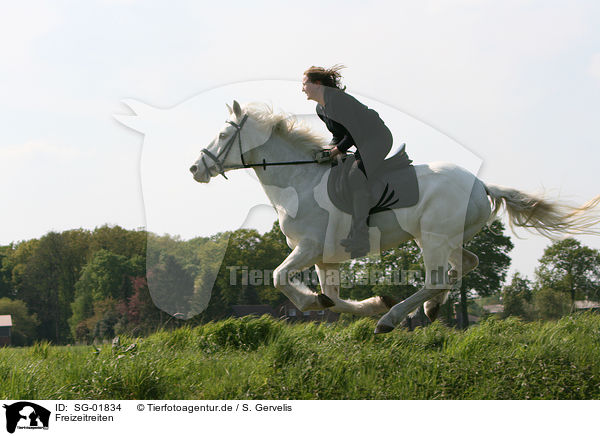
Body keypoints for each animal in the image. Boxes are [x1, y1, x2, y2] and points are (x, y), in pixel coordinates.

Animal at [191, 101, 600, 334]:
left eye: (224, 134)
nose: (195, 168)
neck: (298, 179)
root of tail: (481, 183)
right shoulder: (325, 257)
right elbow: (333, 300)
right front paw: (372, 303)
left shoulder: (307, 248)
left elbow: (280, 278)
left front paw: (321, 304)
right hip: (443, 238)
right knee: (463, 265)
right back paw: (427, 309)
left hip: (432, 238)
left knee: (437, 278)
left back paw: (394, 319)